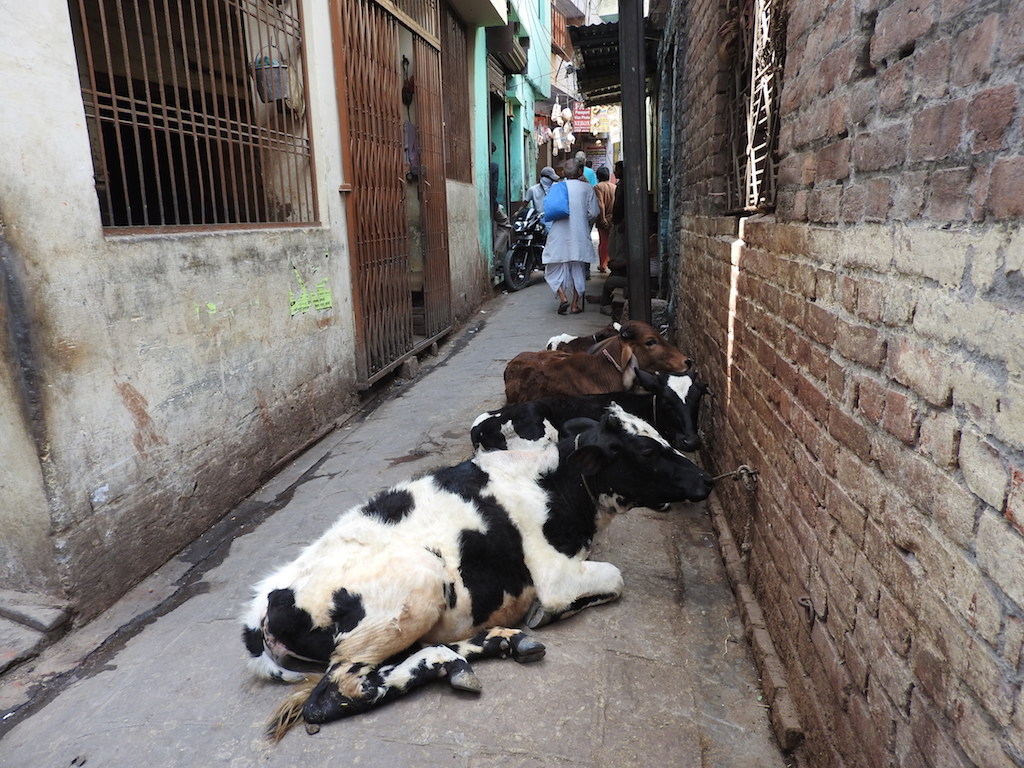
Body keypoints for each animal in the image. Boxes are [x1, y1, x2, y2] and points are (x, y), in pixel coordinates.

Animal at [239, 409, 712, 741]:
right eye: (647, 450)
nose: (706, 479)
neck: (557, 483)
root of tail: (267, 598)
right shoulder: (556, 575)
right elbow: (613, 578)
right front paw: (547, 614)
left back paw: (499, 643)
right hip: (417, 586)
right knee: (333, 695)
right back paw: (452, 660)